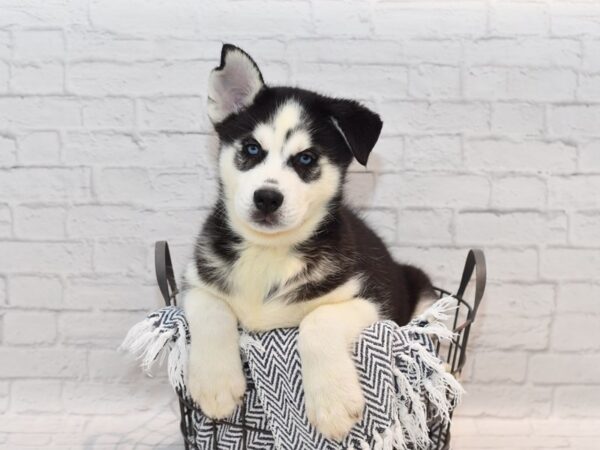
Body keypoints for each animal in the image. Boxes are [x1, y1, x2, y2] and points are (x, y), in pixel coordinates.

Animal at [185, 44, 434, 440]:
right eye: (251, 149)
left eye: (305, 158)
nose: (267, 198)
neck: (268, 252)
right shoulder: (197, 280)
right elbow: (209, 306)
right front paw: (215, 383)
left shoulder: (374, 302)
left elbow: (317, 320)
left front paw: (333, 403)